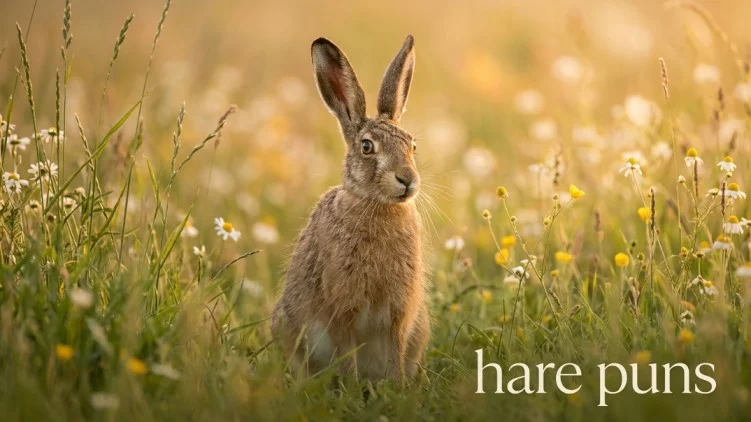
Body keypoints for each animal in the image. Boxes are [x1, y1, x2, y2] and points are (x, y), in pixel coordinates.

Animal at [271, 35, 430, 383]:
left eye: (412, 146)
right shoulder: (342, 308)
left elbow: (395, 350)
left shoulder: (399, 312)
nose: (407, 180)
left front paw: (396, 387)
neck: (378, 206)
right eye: (367, 147)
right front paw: (352, 387)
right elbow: (346, 354)